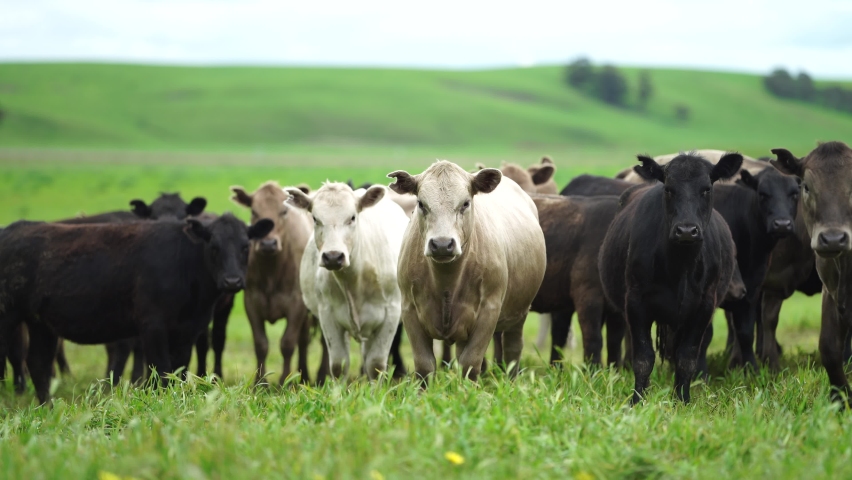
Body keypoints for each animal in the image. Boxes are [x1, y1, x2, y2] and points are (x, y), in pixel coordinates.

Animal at [0, 214, 273, 403]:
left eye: (246, 246)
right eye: (213, 246)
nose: (232, 281)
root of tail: (12, 229)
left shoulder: (188, 331)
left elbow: (179, 371)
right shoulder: (153, 326)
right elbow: (161, 371)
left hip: (39, 323)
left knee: (38, 363)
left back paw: (47, 407)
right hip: (9, 315)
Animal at [231, 182, 330, 385]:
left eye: (284, 211)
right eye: (254, 211)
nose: (268, 243)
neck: (272, 271)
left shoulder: (296, 304)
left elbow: (287, 344)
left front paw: (284, 382)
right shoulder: (252, 303)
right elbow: (261, 344)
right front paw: (260, 383)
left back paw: (321, 376)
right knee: (304, 340)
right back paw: (304, 375)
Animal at [286, 183, 409, 380]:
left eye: (352, 217)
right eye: (315, 218)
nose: (333, 257)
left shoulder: (391, 313)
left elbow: (376, 365)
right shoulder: (327, 314)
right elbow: (338, 365)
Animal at [388, 161, 547, 381]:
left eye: (465, 203)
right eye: (421, 203)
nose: (442, 244)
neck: (446, 280)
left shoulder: (489, 309)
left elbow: (470, 363)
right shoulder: (409, 308)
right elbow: (425, 365)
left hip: (519, 313)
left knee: (513, 351)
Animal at [599, 153, 741, 403]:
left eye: (706, 189)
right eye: (668, 189)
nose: (686, 230)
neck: (680, 267)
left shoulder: (704, 306)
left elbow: (686, 358)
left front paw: (682, 401)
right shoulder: (636, 303)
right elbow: (643, 358)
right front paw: (637, 401)